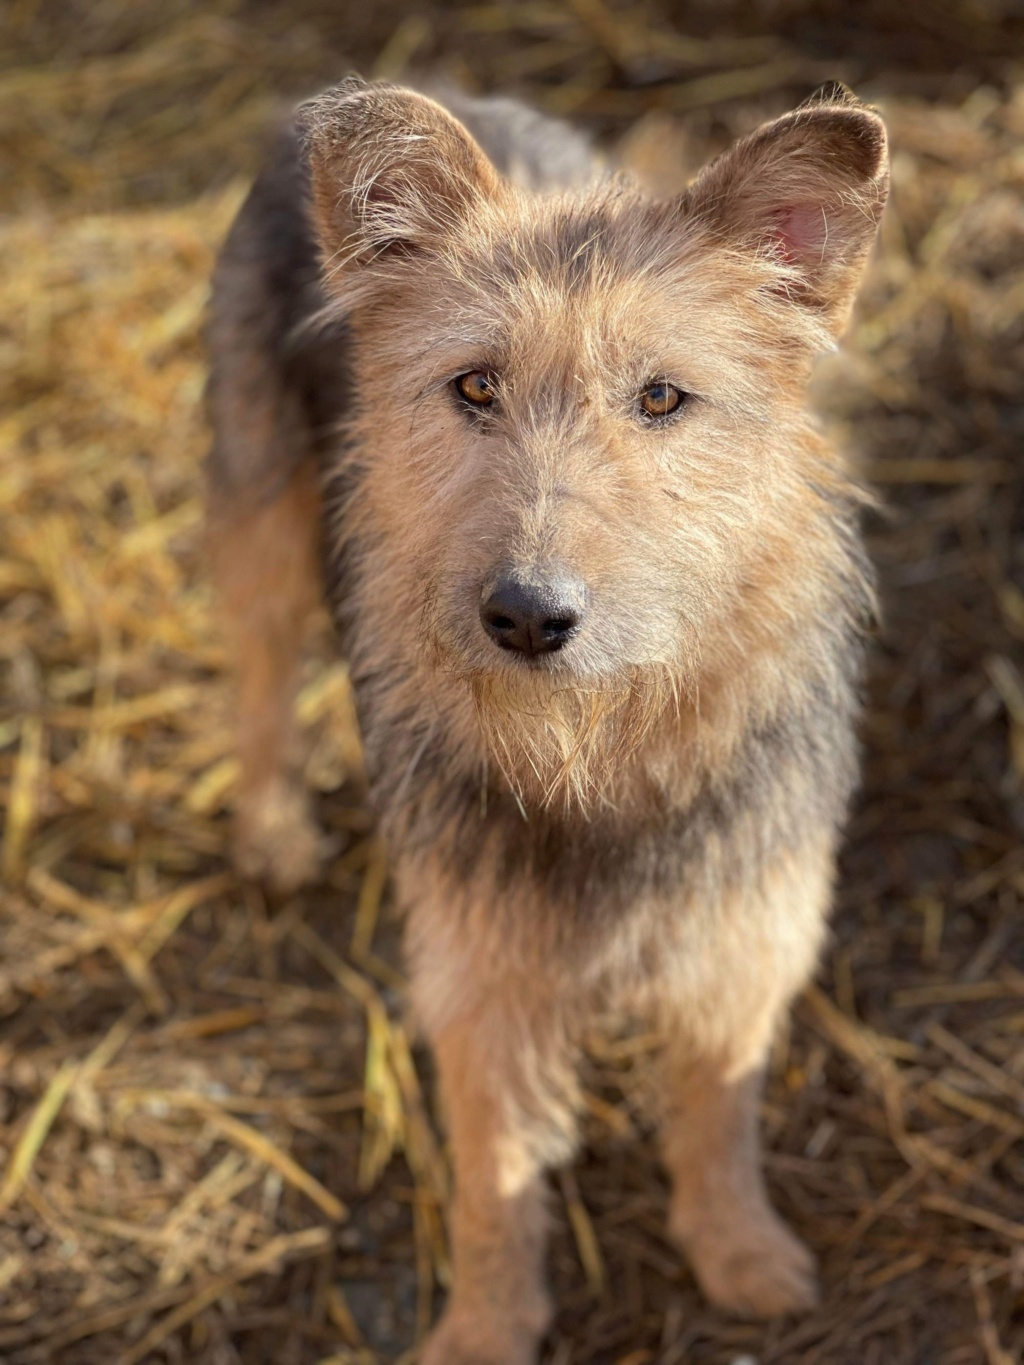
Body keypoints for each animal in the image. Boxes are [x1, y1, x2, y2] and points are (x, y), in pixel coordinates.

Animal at [206, 77, 890, 1365]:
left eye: (661, 398)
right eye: (475, 385)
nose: (526, 615)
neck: (596, 755)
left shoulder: (742, 945)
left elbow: (719, 1118)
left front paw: (740, 1255)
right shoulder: (480, 985)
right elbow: (496, 1183)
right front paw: (484, 1326)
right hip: (261, 512)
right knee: (260, 680)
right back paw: (270, 832)